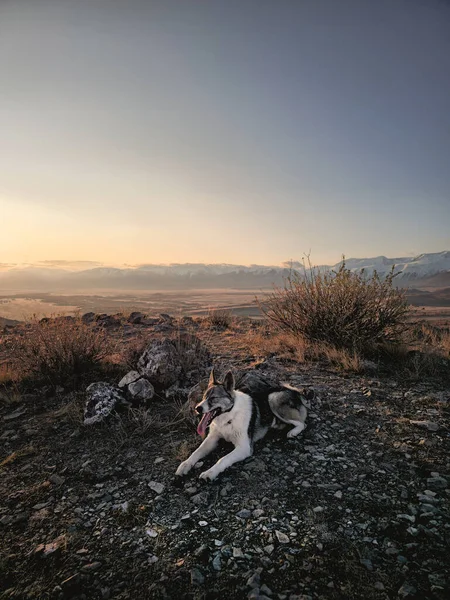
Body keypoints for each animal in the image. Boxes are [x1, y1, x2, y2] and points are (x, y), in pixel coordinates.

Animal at [176, 368, 312, 480]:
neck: (229, 417)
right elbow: (197, 451)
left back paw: (293, 432)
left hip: (273, 398)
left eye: (213, 398)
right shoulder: (212, 439)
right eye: (204, 397)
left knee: (303, 423)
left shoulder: (244, 447)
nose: (197, 408)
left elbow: (223, 459)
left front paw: (210, 472)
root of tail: (294, 391)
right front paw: (185, 465)